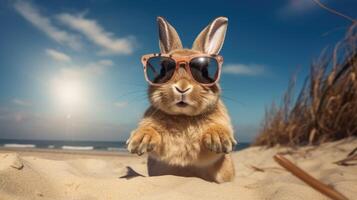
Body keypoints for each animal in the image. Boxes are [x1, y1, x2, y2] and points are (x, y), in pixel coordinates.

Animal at [126, 16, 236, 183]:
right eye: (164, 68)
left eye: (204, 70)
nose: (182, 87)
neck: (184, 117)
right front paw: (141, 139)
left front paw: (218, 138)